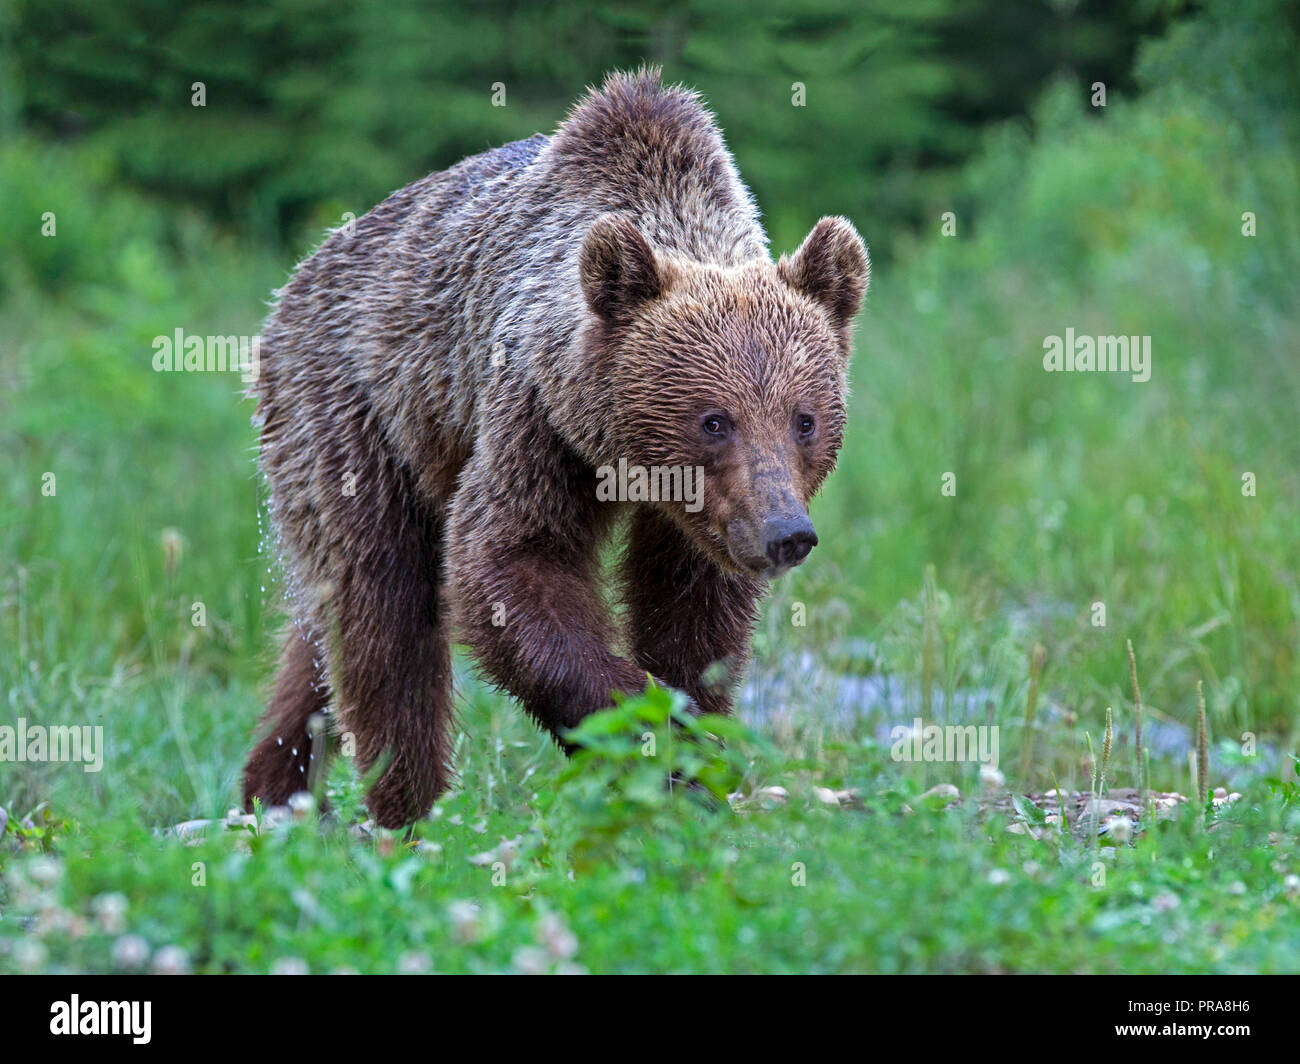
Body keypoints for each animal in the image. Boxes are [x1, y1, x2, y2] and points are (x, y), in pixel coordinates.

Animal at [241, 67, 869, 829]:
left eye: (804, 419)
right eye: (714, 420)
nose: (786, 532)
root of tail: (297, 280)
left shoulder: (704, 516)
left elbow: (693, 612)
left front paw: (692, 748)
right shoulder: (534, 417)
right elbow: (509, 561)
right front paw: (642, 725)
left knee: (319, 634)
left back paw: (275, 783)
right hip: (356, 411)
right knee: (381, 603)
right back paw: (407, 804)